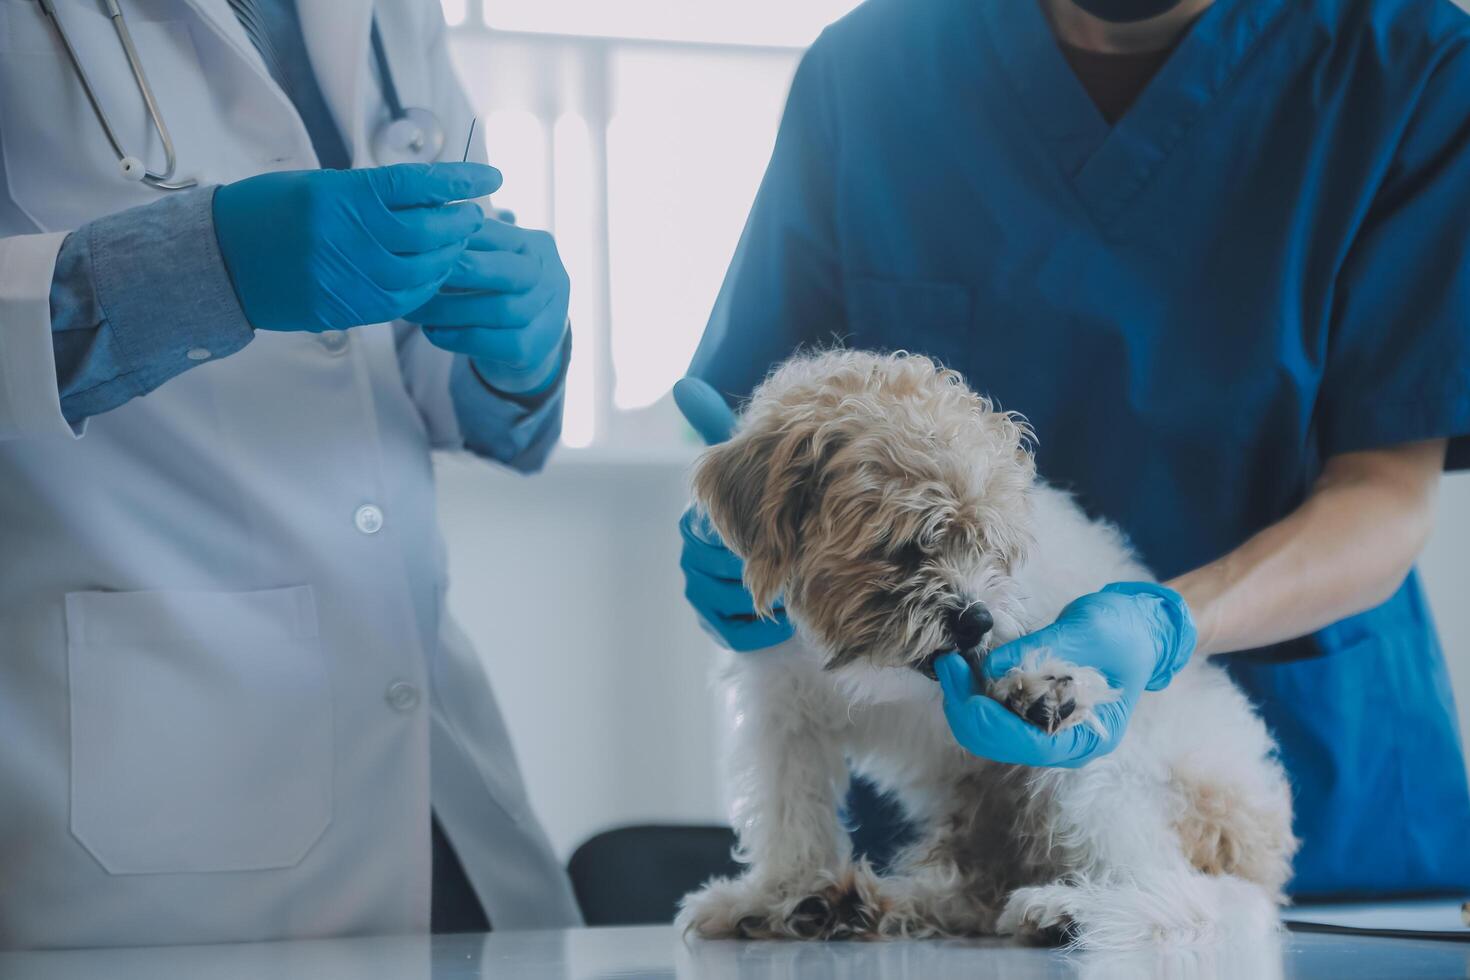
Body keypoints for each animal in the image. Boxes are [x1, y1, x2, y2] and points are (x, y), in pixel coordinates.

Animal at [676, 351, 1299, 952]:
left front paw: (1033, 688)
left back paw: (1071, 910)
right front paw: (777, 893)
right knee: (976, 893)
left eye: (991, 549)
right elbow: (791, 816)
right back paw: (858, 904)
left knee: (1198, 894)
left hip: (1099, 779)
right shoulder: (783, 715)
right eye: (905, 546)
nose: (976, 620)